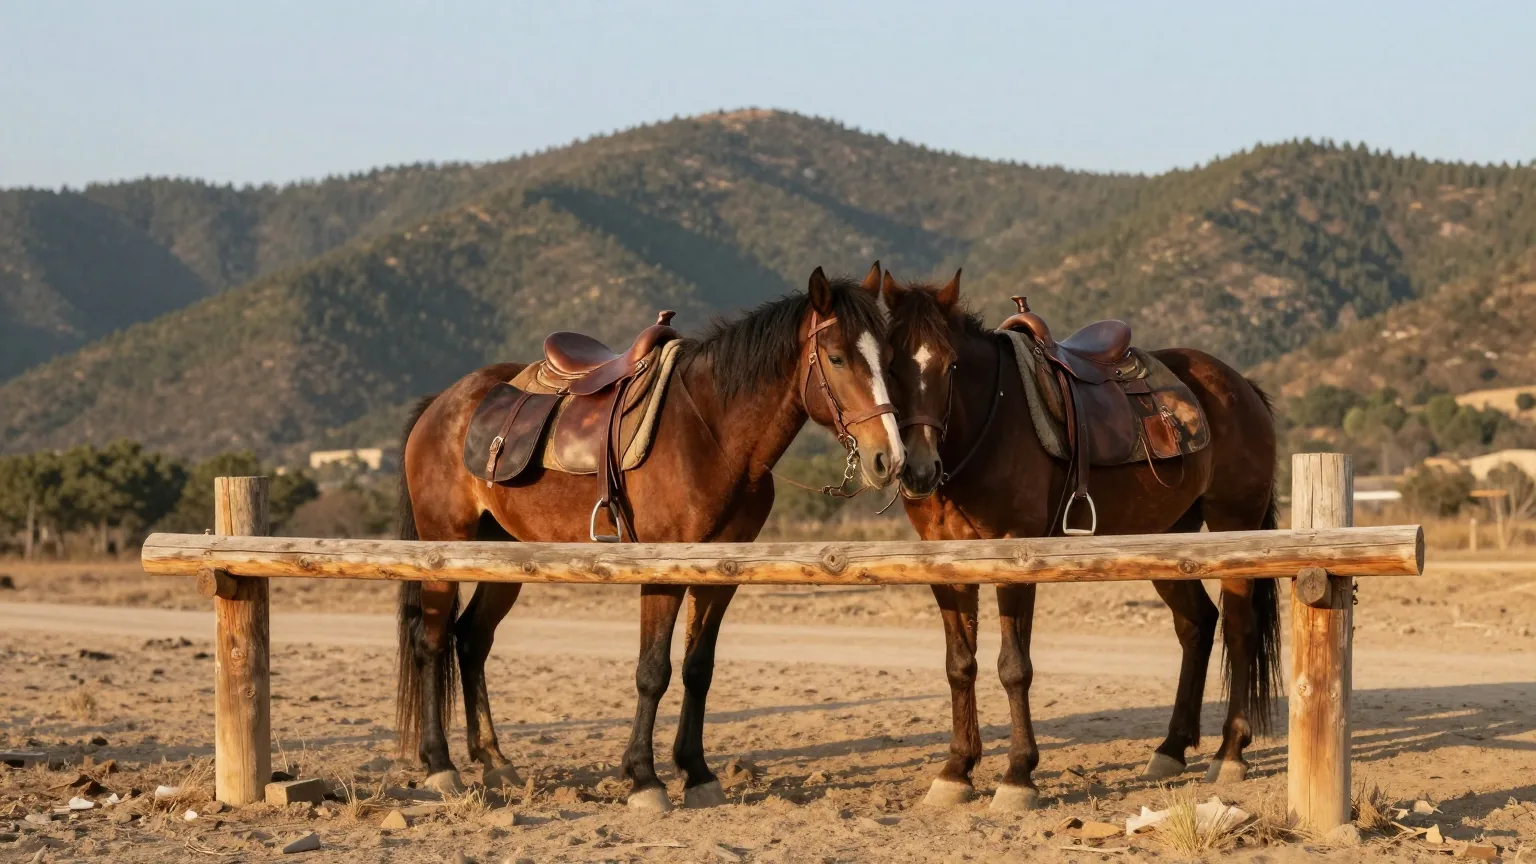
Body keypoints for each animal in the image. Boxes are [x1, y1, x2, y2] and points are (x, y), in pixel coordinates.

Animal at [395, 265, 906, 810]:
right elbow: (652, 671)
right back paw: (441, 765)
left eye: (888, 358)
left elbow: (698, 669)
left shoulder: (720, 575)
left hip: (502, 556)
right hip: (443, 547)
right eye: (836, 357)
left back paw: (493, 761)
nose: (888, 459)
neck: (713, 434)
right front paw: (644, 777)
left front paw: (697, 772)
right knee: (431, 641)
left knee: (471, 640)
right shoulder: (662, 570)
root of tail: (441, 404)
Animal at [881, 270, 1280, 811]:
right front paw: (955, 770)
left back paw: (1230, 752)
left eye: (950, 364)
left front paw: (1018, 775)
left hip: (1233, 525)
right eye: (889, 364)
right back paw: (1172, 748)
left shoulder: (1015, 553)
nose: (919, 468)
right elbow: (959, 665)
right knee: (1197, 624)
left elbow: (1014, 666)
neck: (988, 425)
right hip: (1165, 539)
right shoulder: (946, 562)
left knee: (1238, 629)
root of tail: (1241, 386)